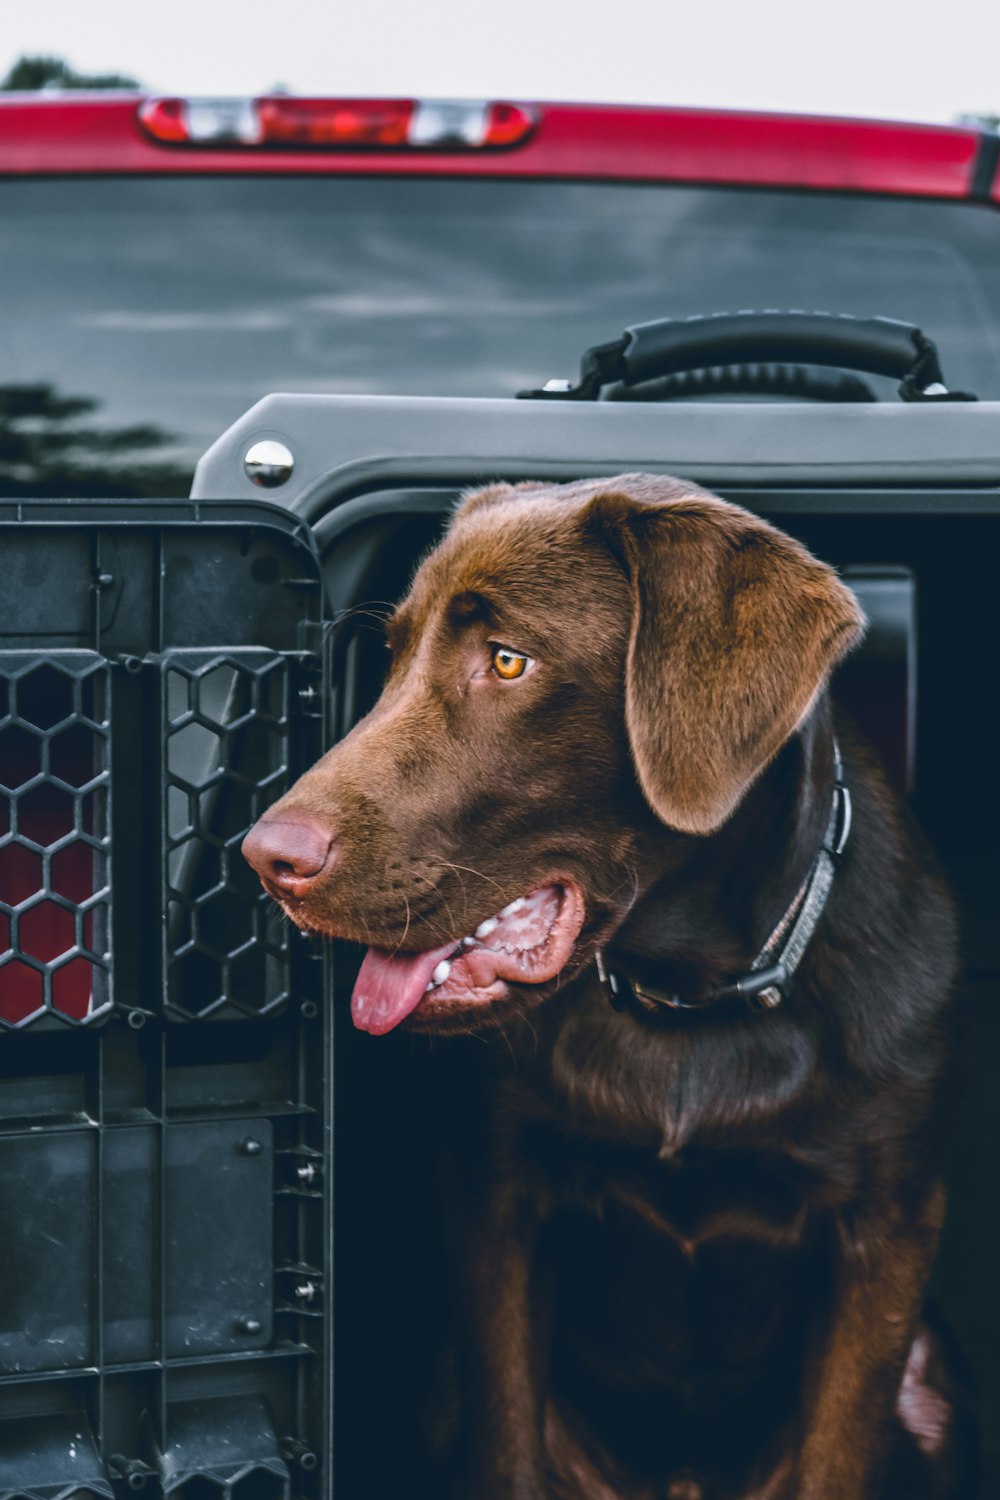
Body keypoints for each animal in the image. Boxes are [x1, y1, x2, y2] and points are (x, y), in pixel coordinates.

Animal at [242, 474, 971, 1494]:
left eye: (508, 661)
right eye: (391, 657)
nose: (264, 859)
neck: (687, 1000)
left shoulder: (887, 1231)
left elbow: (836, 1457)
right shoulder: (496, 1205)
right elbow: (506, 1443)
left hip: (931, 1388)